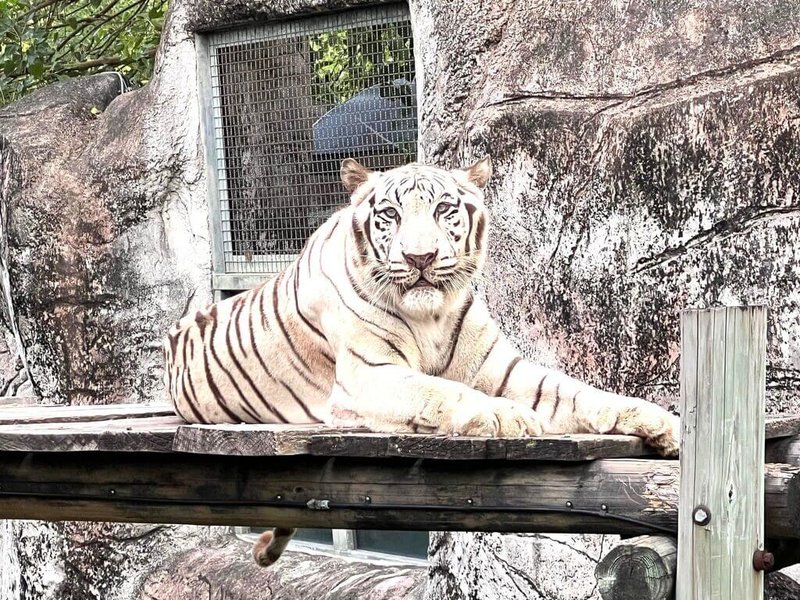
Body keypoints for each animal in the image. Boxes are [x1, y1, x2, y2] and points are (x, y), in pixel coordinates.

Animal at [164, 156, 680, 567]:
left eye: (443, 210)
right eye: (390, 214)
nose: (420, 257)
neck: (430, 313)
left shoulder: (503, 369)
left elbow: (579, 392)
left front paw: (664, 423)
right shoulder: (368, 375)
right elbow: (440, 389)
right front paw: (505, 416)